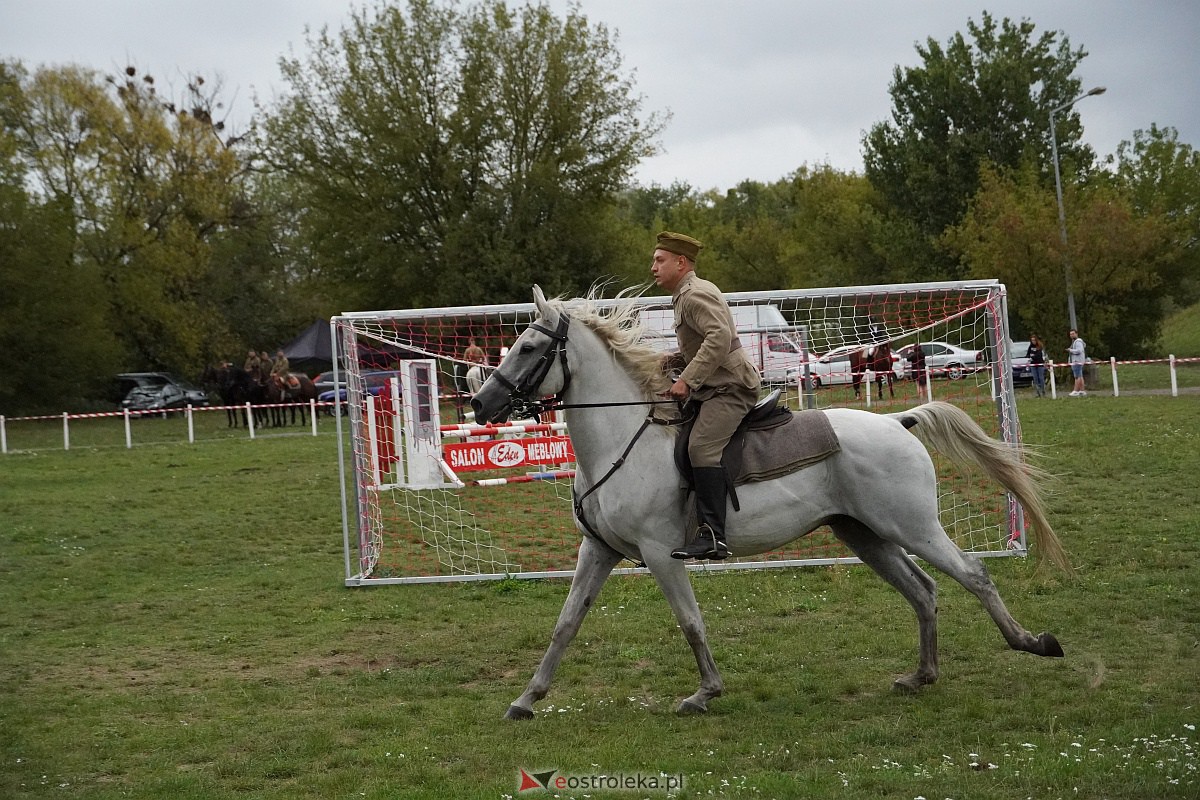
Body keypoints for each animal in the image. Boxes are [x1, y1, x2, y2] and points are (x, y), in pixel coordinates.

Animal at [468, 286, 1070, 719]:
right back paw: (921, 675)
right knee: (922, 591)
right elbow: (566, 623)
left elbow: (690, 622)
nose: (480, 404)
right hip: (864, 534)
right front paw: (527, 698)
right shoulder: (598, 551)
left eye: (528, 347)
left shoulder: (662, 555)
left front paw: (705, 692)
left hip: (913, 528)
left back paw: (1032, 642)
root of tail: (897, 422)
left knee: (974, 576)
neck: (624, 439)